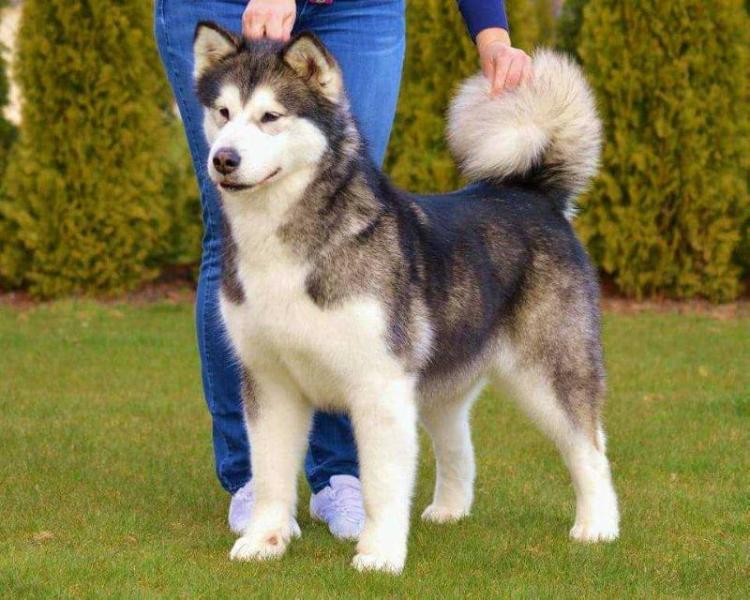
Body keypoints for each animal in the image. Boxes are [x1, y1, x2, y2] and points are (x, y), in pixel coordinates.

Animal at [194, 21, 624, 576]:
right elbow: (269, 474)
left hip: (549, 372)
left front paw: (378, 553)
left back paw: (598, 525)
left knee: (589, 448)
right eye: (223, 113)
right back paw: (450, 509)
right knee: (459, 444)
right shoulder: (270, 381)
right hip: (439, 381)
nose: (223, 159)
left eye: (270, 117)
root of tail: (531, 192)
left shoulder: (378, 386)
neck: (284, 247)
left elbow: (380, 484)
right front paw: (265, 540)